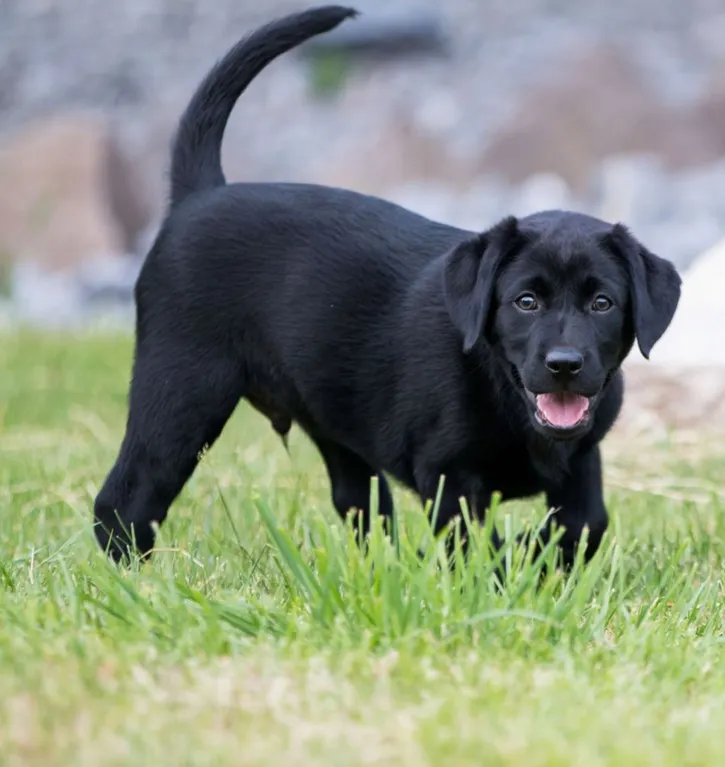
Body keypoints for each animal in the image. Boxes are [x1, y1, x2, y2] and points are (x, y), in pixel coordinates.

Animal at [93, 6, 680, 568]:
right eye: (526, 302)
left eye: (602, 303)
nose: (564, 365)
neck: (501, 388)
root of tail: (200, 194)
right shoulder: (448, 475)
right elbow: (476, 546)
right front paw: (502, 569)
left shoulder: (582, 455)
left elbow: (586, 522)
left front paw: (536, 561)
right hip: (182, 392)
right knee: (125, 497)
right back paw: (137, 580)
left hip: (329, 422)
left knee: (360, 504)